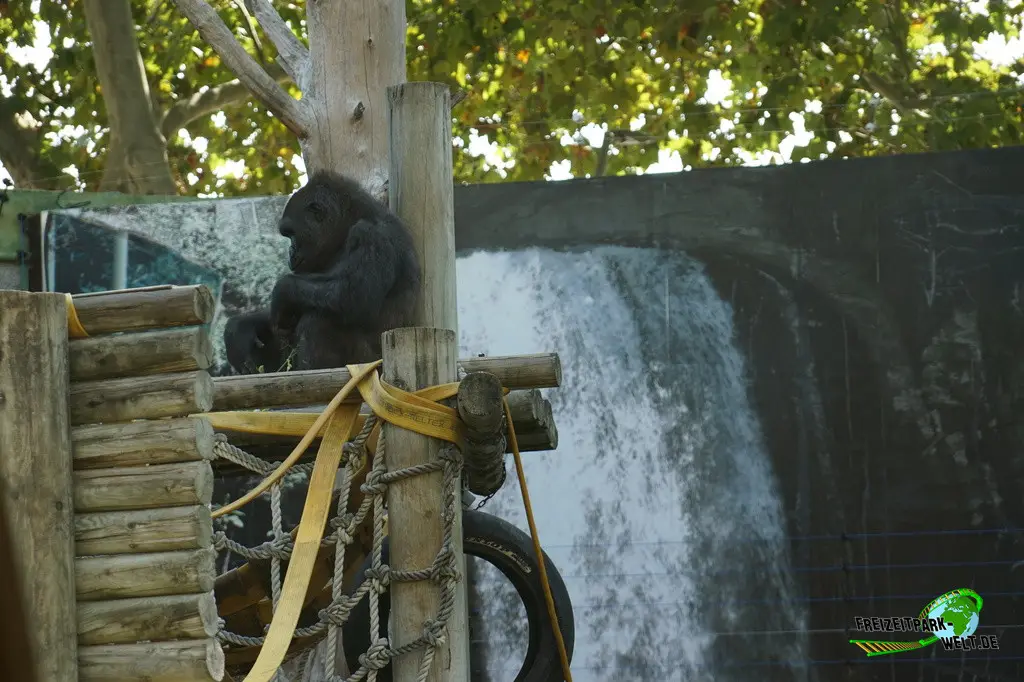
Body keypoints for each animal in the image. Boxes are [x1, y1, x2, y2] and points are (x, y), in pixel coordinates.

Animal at [223, 170, 420, 373]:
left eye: (291, 233)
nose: (290, 251)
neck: (348, 224)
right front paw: (240, 327)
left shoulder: (372, 234)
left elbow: (354, 295)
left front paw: (282, 291)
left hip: (370, 365)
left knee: (320, 318)